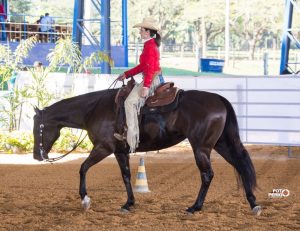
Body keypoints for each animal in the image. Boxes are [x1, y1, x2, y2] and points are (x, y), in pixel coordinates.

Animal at [33, 87, 262, 216]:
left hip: (201, 147)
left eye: (37, 128)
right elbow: (126, 176)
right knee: (241, 166)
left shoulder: (103, 148)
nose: (36, 155)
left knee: (207, 175)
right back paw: (253, 204)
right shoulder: (119, 151)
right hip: (221, 144)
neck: (93, 109)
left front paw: (85, 200)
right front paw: (128, 204)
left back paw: (194, 207)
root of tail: (219, 99)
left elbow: (82, 168)